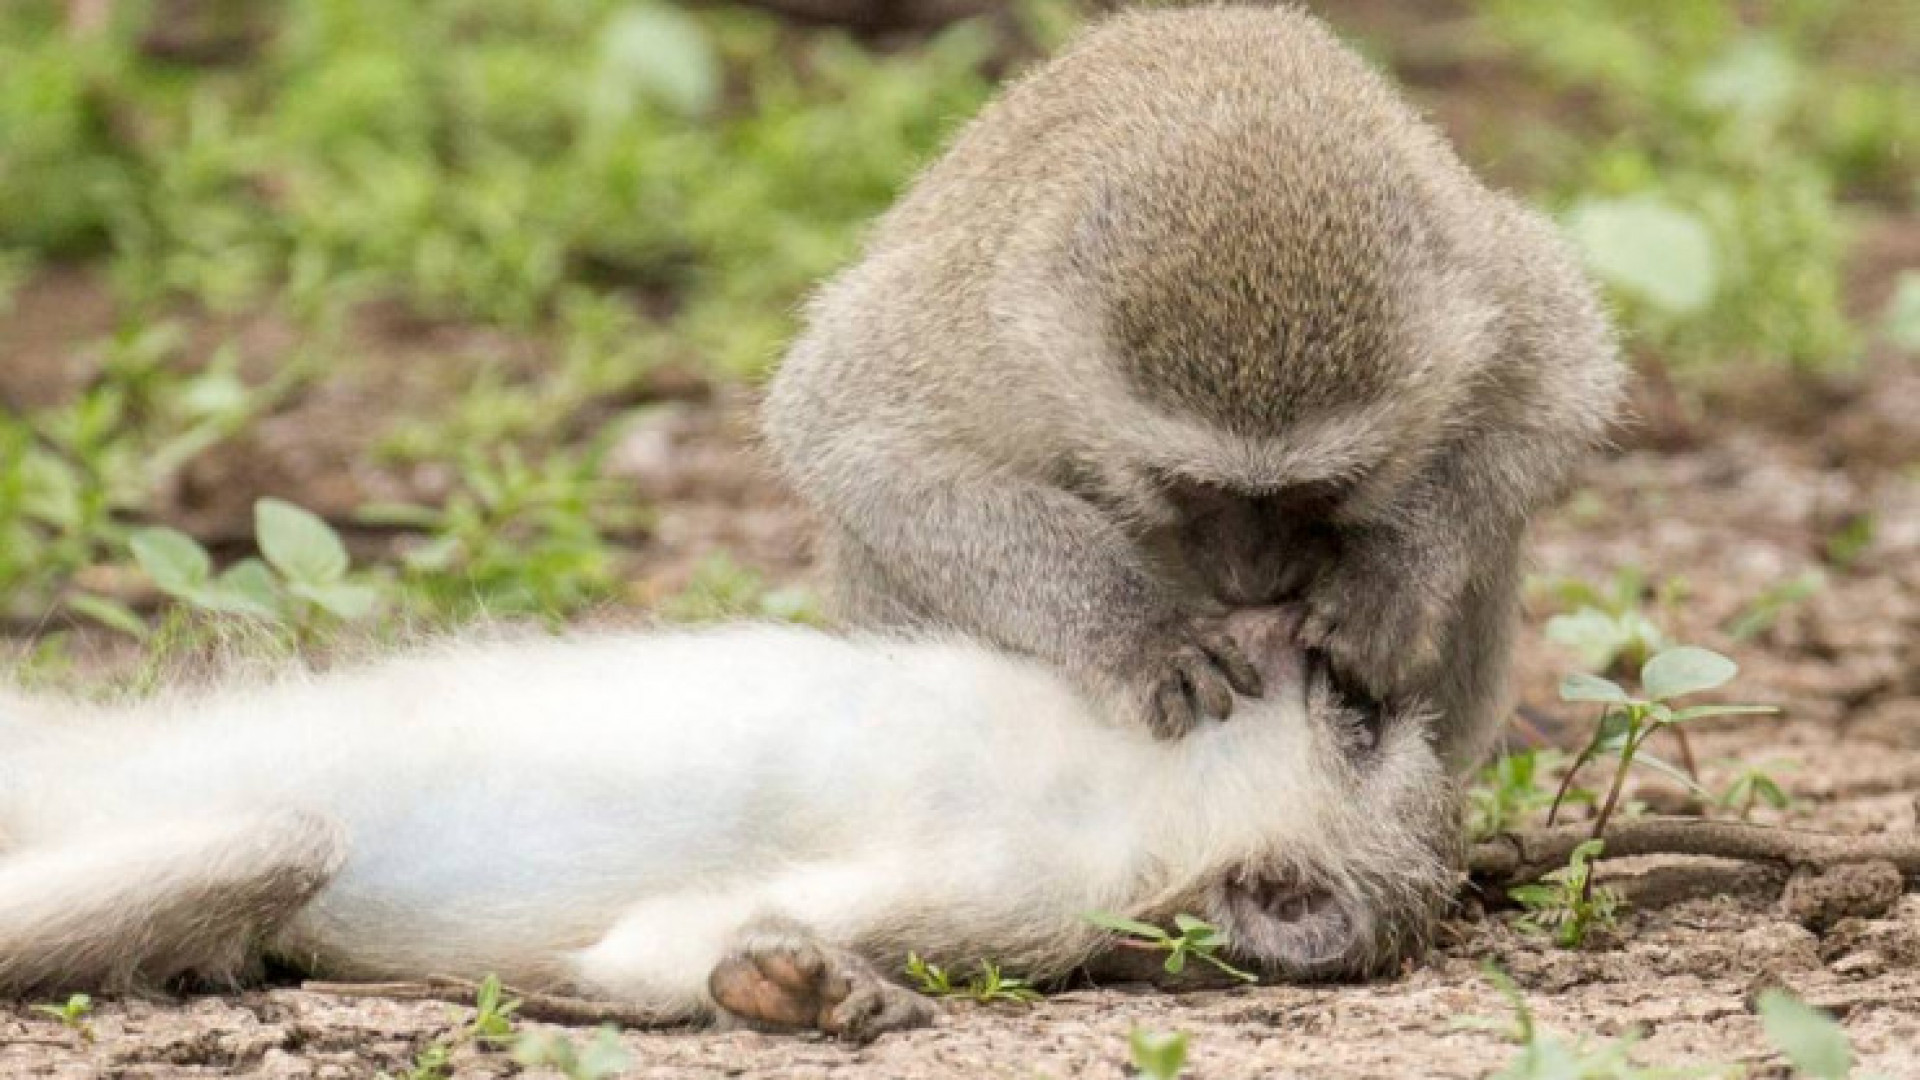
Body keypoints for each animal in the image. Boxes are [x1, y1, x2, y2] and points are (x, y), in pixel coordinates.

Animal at [0, 607, 1443, 1037]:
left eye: (1360, 722)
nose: (1307, 638)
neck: (1131, 785)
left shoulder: (1030, 888)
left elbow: (644, 954)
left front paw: (808, 990)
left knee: (282, 843)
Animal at [764, 4, 1620, 768]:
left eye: (1327, 488)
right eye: (1186, 485)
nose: (1254, 583)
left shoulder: (1481, 280)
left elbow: (1564, 391)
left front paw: (1390, 577)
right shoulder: (990, 337)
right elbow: (852, 438)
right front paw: (1138, 631)